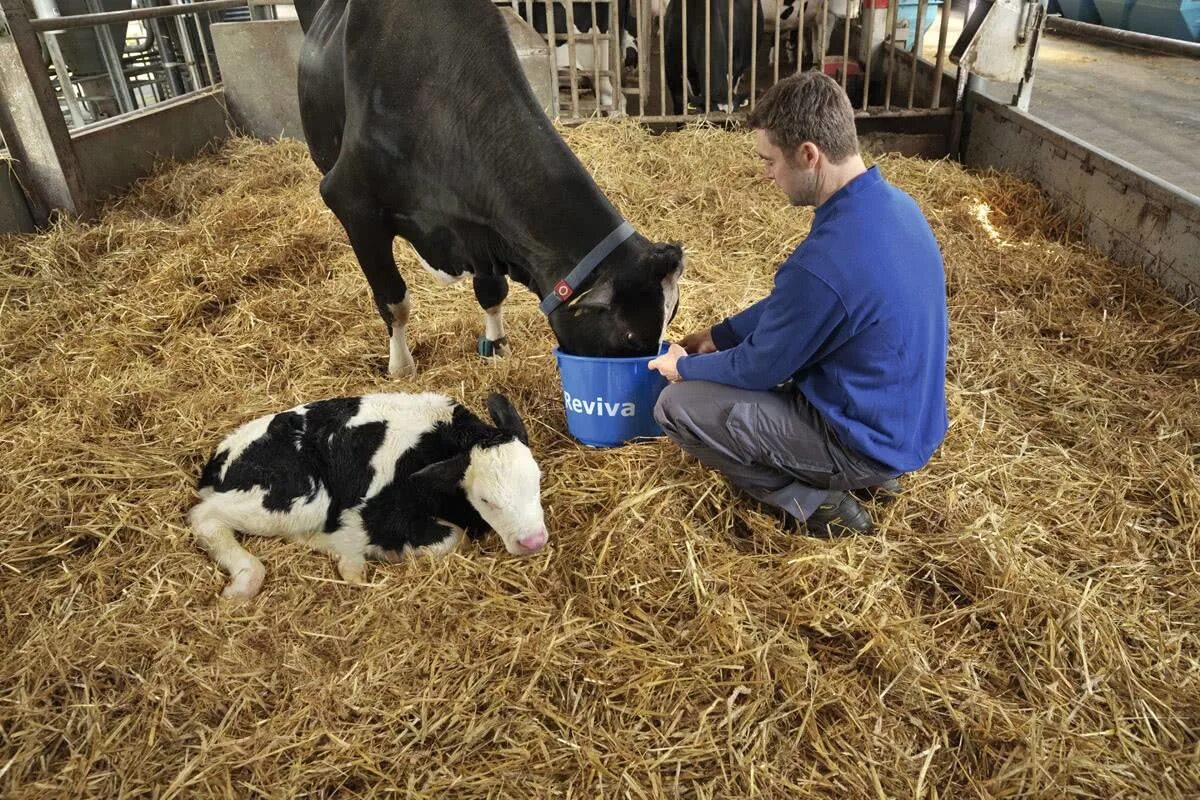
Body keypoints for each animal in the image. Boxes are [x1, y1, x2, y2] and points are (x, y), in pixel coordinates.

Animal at [187, 393, 549, 599]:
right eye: (485, 499)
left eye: (537, 480)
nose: (533, 541)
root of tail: (222, 455)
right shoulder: (377, 512)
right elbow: (453, 539)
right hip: (296, 500)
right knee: (203, 516)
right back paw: (245, 583)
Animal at [292, 0, 686, 376]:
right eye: (631, 337)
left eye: (672, 314)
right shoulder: (352, 203)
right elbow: (394, 300)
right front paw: (401, 367)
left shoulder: (485, 222)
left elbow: (493, 290)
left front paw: (496, 346)